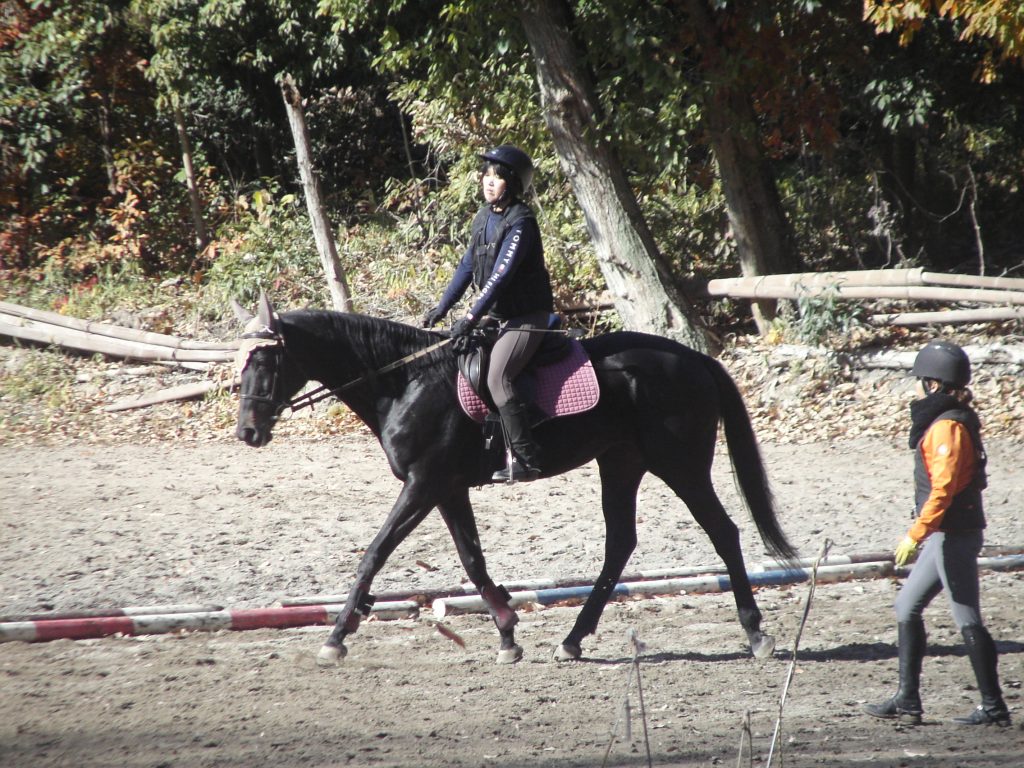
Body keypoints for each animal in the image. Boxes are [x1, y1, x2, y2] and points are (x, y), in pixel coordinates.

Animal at [234, 293, 797, 667]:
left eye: (266, 360)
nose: (247, 432)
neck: (405, 383)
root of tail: (696, 359)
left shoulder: (422, 483)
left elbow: (374, 553)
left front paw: (336, 637)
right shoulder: (447, 487)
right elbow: (472, 559)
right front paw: (507, 633)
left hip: (679, 465)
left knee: (723, 532)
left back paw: (757, 636)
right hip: (621, 463)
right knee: (620, 543)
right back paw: (572, 639)